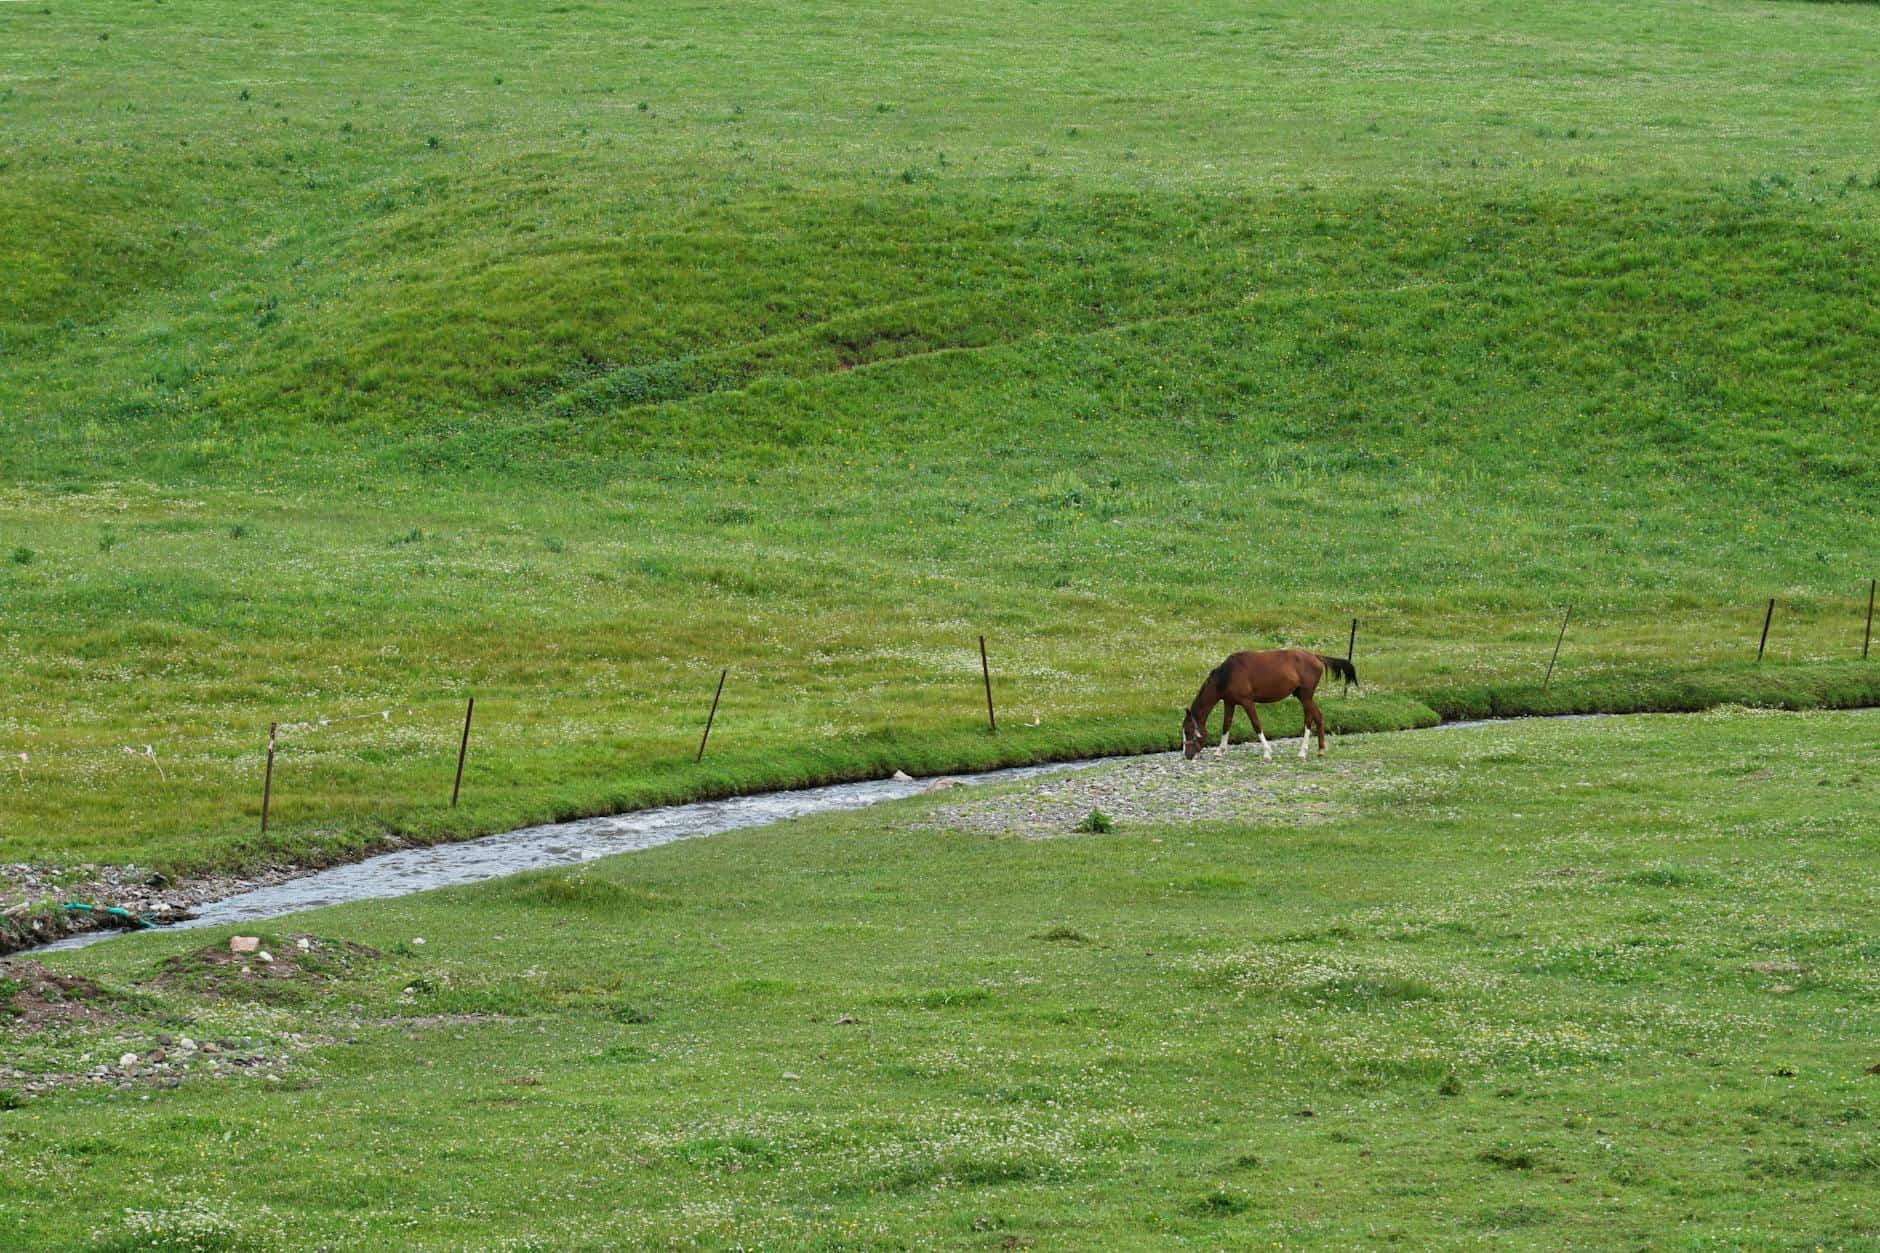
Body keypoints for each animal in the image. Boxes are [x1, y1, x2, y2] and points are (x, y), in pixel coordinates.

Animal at [1181, 648, 1358, 761]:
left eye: (1188, 731)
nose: (1187, 756)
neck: (1227, 674)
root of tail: (1316, 656)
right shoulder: (1230, 703)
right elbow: (1226, 726)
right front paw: (1219, 751)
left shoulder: (1247, 702)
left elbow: (1256, 725)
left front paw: (1267, 753)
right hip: (1301, 695)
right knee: (1318, 717)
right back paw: (1320, 750)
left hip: (1306, 696)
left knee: (1309, 719)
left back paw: (1302, 752)